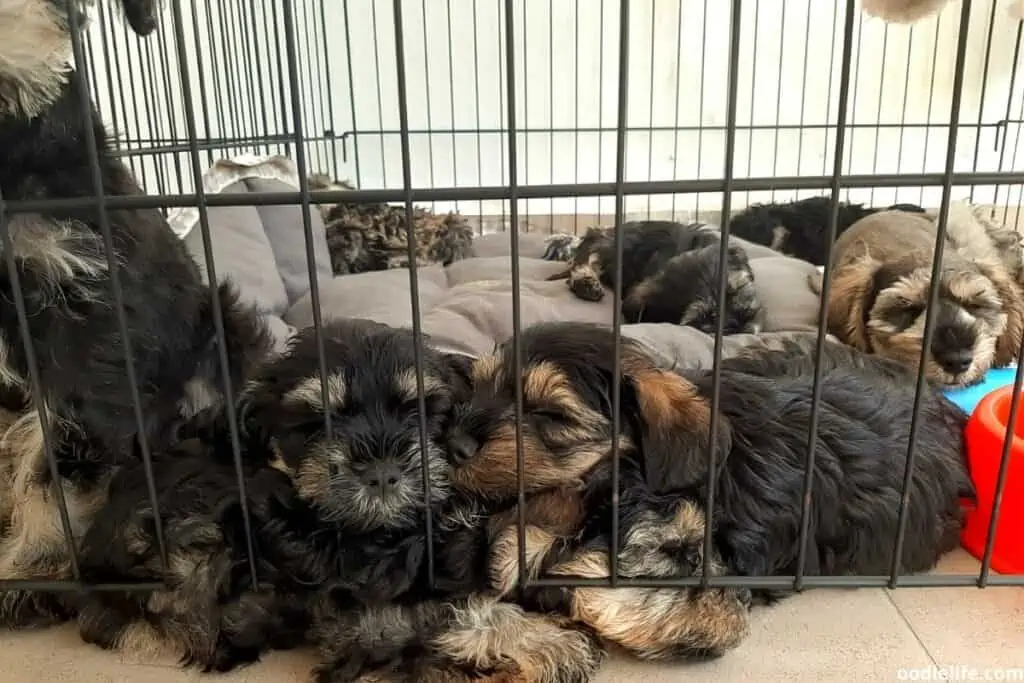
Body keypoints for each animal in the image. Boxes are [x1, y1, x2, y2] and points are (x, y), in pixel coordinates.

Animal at [235, 321, 602, 683]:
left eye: (418, 411)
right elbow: (456, 615)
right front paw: (557, 645)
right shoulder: (367, 618)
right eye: (315, 424)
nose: (381, 472)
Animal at [544, 220, 761, 335]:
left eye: (737, 290)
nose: (735, 323)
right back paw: (587, 284)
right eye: (702, 319)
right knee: (584, 263)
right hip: (605, 246)